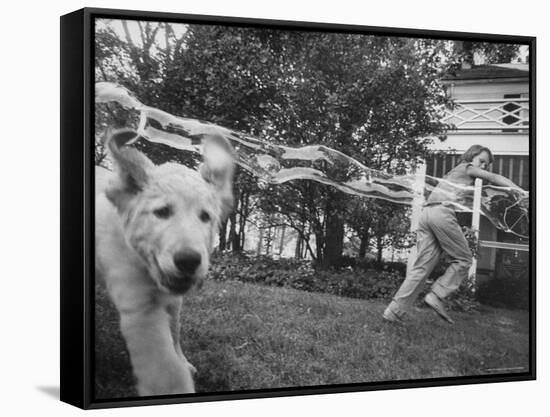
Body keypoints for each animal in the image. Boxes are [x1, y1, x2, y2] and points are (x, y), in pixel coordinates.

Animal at [95, 128, 235, 394]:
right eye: (161, 212)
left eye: (205, 217)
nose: (189, 261)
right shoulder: (141, 306)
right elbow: (165, 370)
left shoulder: (173, 299)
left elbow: (175, 330)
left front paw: (184, 361)